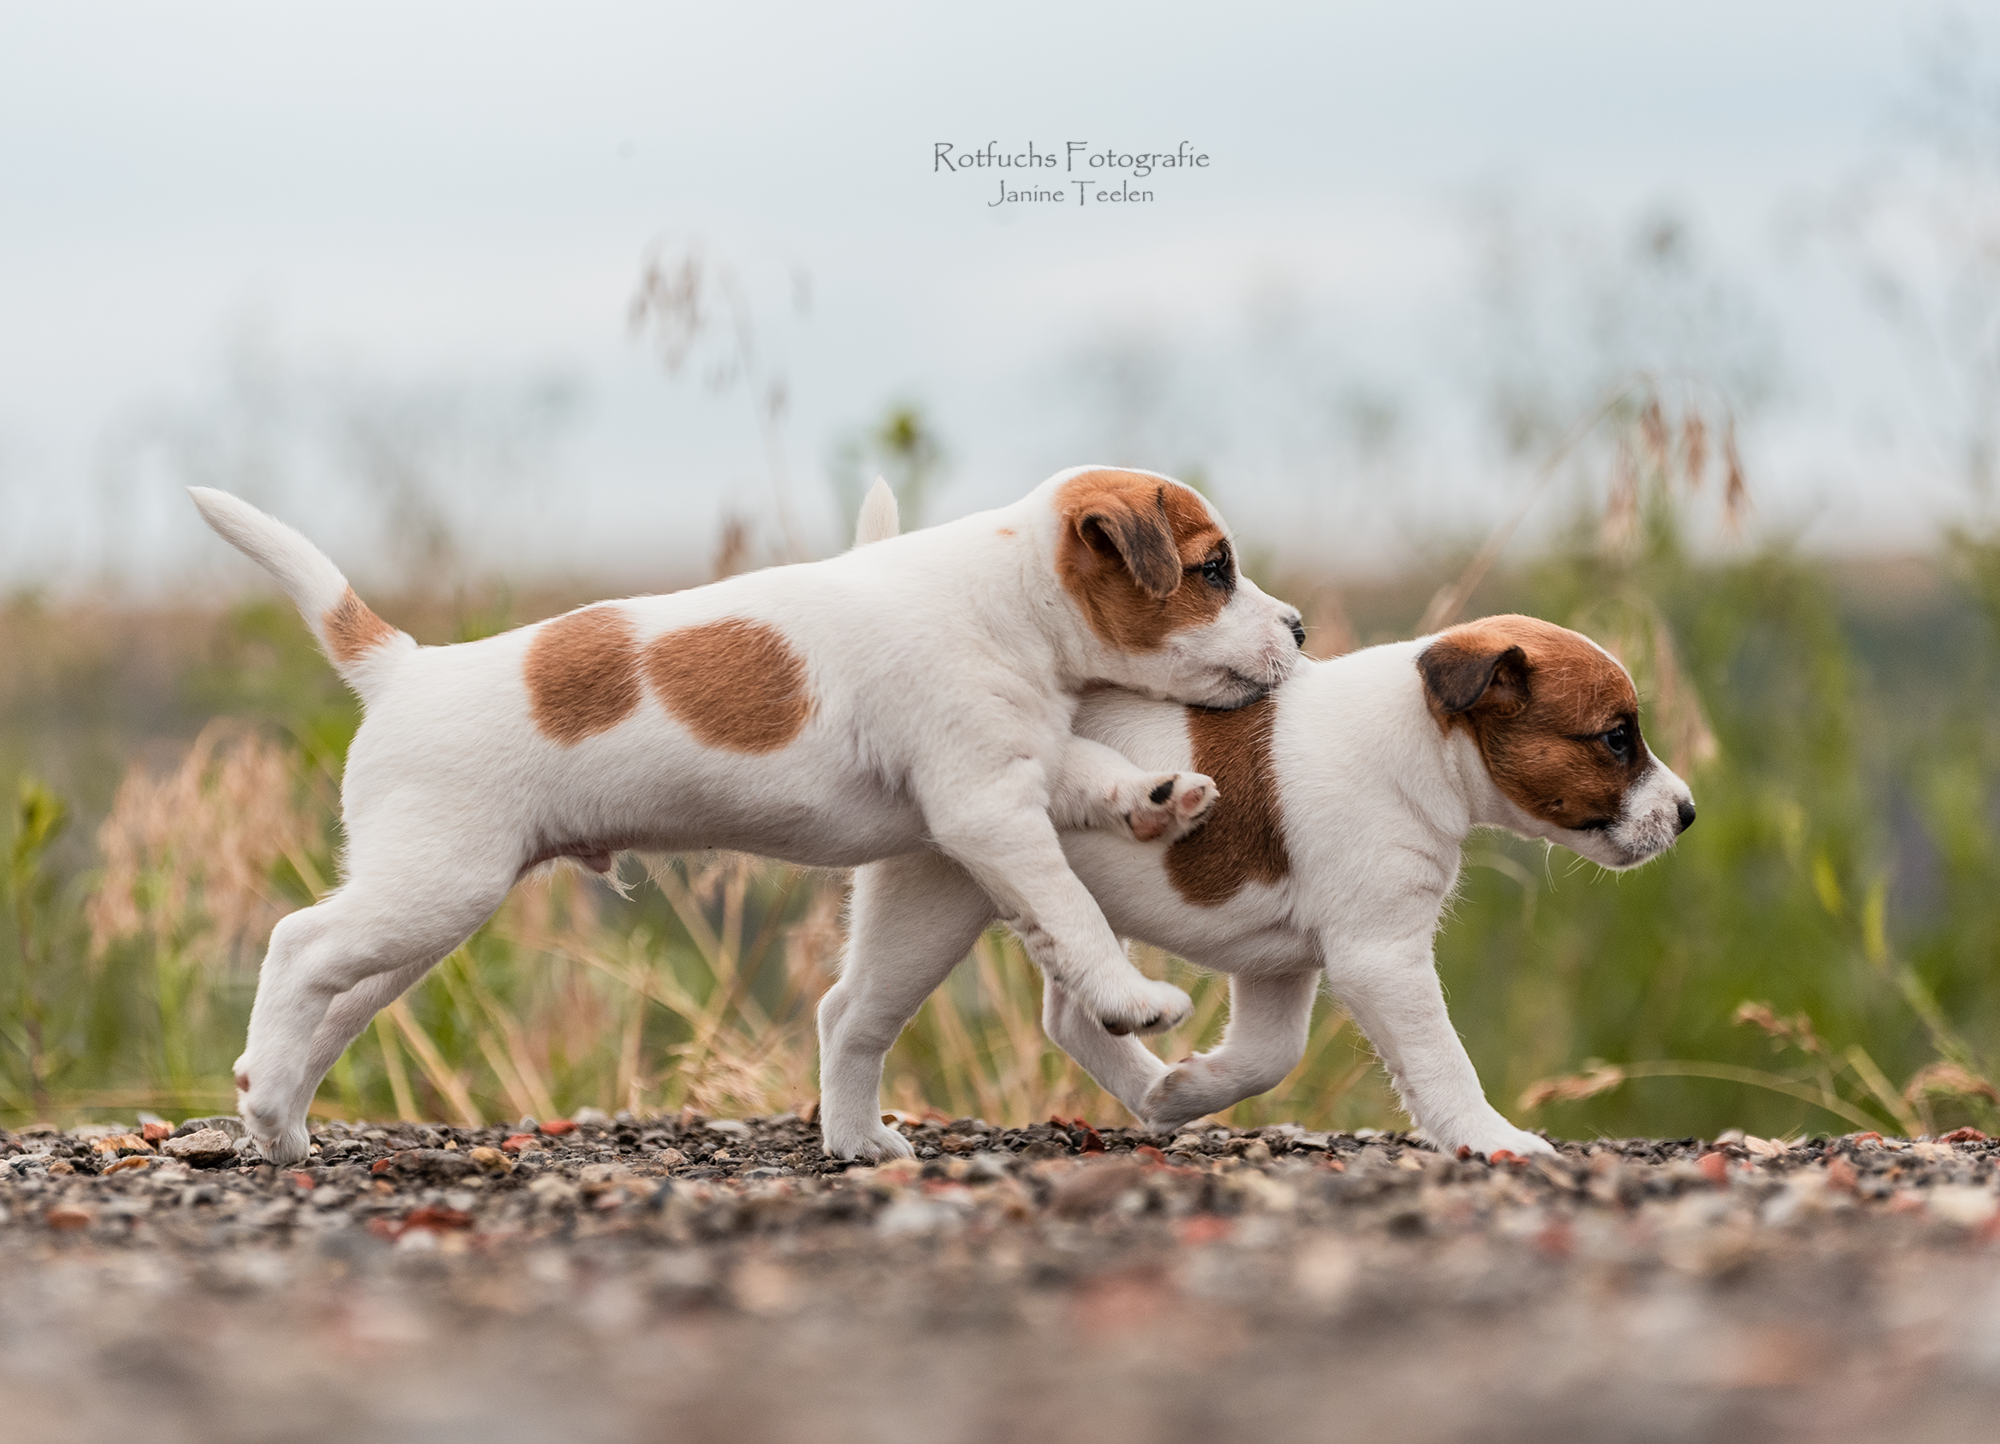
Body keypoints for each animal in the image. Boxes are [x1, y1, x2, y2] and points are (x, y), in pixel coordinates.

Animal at [195, 466, 1304, 1168]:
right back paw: (269, 1103)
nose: (1298, 626)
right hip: (432, 891)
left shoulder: (1013, 764)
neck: (1003, 594)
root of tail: (402, 667)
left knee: (332, 1002)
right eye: (1213, 568)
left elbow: (1088, 768)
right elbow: (1070, 913)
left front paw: (1153, 795)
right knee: (297, 944)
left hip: (418, 919)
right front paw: (1130, 996)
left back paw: (275, 1117)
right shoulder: (984, 808)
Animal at [820, 608, 1696, 1160]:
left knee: (1067, 1015)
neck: (1422, 740)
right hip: (936, 904)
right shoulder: (1382, 957)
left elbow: (1269, 1057)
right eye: (1616, 739)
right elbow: (1442, 1060)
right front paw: (1494, 1140)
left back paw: (1147, 1088)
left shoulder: (1280, 965)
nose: (1688, 813)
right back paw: (858, 1140)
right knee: (854, 1018)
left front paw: (1183, 1091)